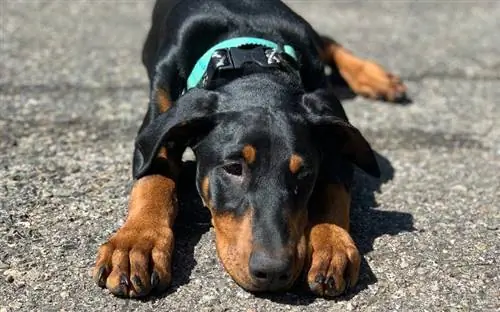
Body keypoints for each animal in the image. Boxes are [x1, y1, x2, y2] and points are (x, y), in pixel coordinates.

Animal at [93, 0, 406, 298]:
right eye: (233, 168)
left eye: (304, 173)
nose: (273, 272)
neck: (248, 56)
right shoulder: (157, 122)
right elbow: (153, 179)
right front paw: (136, 244)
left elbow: (333, 188)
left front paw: (331, 244)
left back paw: (375, 77)